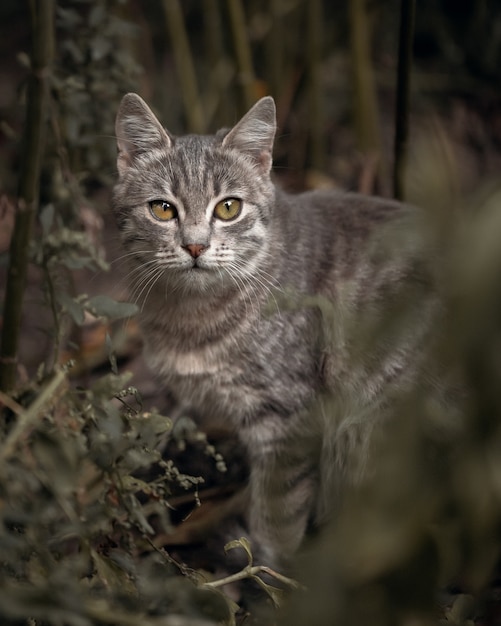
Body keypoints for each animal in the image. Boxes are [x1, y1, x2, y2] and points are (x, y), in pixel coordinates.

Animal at [112, 94, 442, 572]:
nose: (195, 245)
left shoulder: (288, 421)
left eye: (228, 208)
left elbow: (278, 515)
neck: (191, 316)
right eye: (163, 209)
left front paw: (267, 570)